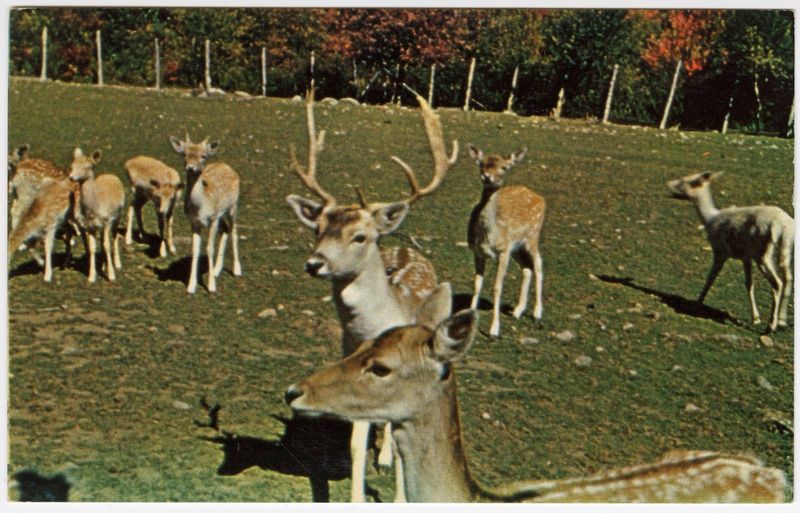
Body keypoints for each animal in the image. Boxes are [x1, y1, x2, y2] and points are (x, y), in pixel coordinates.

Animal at [68, 148, 126, 283]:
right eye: (72, 165)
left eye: (88, 166)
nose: (71, 177)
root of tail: (112, 175)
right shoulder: (89, 226)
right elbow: (92, 248)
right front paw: (91, 276)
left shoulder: (106, 222)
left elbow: (107, 246)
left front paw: (111, 275)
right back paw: (104, 265)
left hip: (118, 216)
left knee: (115, 236)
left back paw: (117, 264)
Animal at [169, 134, 242, 294]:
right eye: (185, 154)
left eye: (203, 156)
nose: (190, 167)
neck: (200, 207)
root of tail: (226, 166)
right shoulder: (194, 222)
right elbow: (195, 249)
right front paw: (191, 286)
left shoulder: (212, 219)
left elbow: (209, 248)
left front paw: (211, 286)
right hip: (221, 215)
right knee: (225, 229)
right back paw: (216, 270)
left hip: (232, 207)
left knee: (234, 231)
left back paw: (237, 269)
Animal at [285, 90, 457, 502]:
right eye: (317, 228)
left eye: (360, 236)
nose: (314, 263)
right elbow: (354, 442)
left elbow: (400, 438)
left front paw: (398, 494)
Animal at [466, 144, 545, 337]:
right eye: (482, 164)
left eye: (504, 167)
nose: (487, 176)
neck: (488, 235)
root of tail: (541, 198)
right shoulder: (477, 252)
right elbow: (477, 283)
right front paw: (470, 315)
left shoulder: (503, 252)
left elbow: (497, 287)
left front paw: (494, 330)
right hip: (516, 248)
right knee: (527, 267)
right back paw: (517, 311)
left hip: (532, 237)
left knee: (539, 263)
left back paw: (537, 314)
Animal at [667, 171, 794, 333]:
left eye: (687, 181)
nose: (668, 184)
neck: (710, 219)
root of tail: (781, 225)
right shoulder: (745, 257)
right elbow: (749, 283)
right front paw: (755, 318)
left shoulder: (720, 251)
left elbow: (710, 278)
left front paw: (697, 303)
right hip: (785, 248)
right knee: (789, 279)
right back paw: (782, 322)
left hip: (762, 254)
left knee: (777, 283)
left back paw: (771, 326)